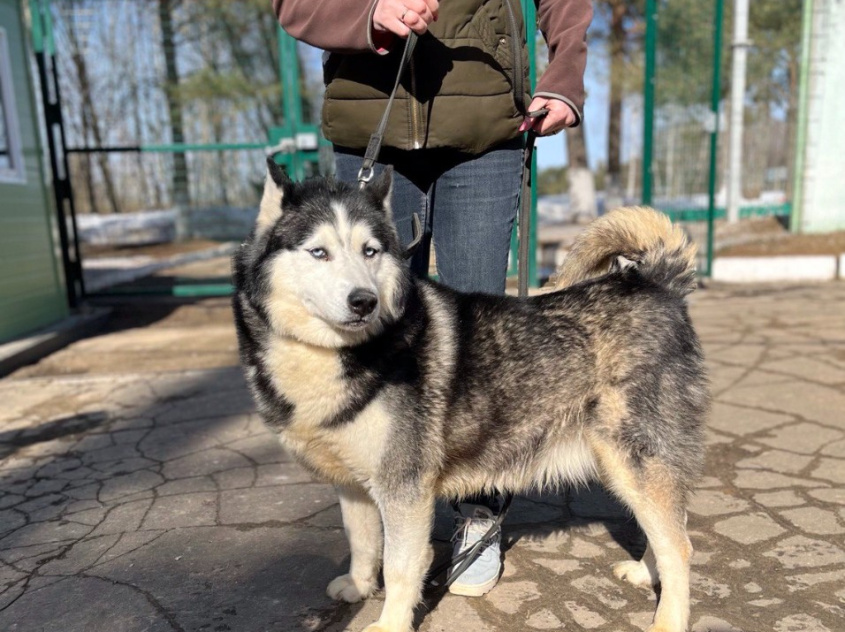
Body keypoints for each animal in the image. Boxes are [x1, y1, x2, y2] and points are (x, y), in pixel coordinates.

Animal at [229, 160, 704, 632]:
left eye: (370, 252)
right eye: (318, 252)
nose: (364, 301)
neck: (343, 353)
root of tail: (657, 282)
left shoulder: (404, 487)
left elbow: (401, 567)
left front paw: (389, 623)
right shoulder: (353, 483)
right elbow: (362, 540)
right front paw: (359, 585)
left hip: (634, 460)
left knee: (680, 544)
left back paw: (668, 618)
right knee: (673, 527)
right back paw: (645, 572)